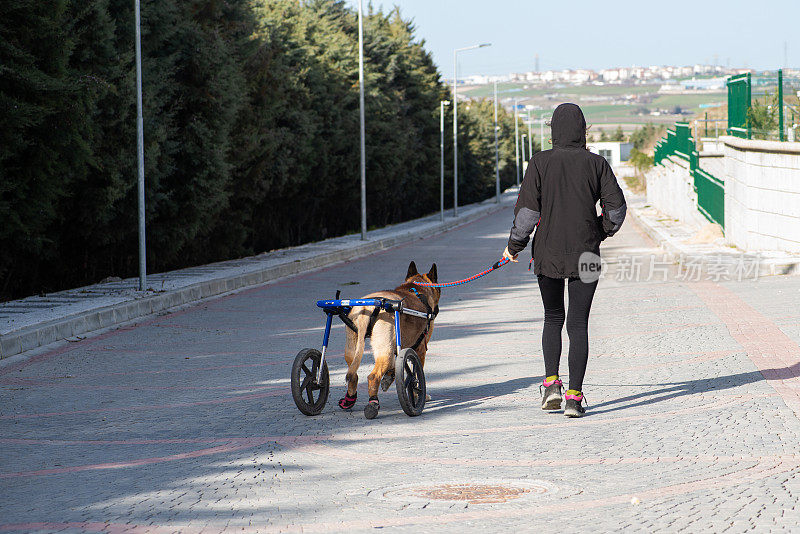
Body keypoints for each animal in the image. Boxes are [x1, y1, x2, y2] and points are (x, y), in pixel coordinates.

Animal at [336, 262, 440, 420]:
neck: (415, 289)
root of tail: (367, 306)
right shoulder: (420, 350)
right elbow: (416, 373)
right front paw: (418, 395)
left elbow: (394, 365)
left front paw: (390, 376)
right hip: (384, 350)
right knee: (373, 376)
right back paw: (373, 404)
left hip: (356, 347)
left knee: (353, 374)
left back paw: (350, 399)